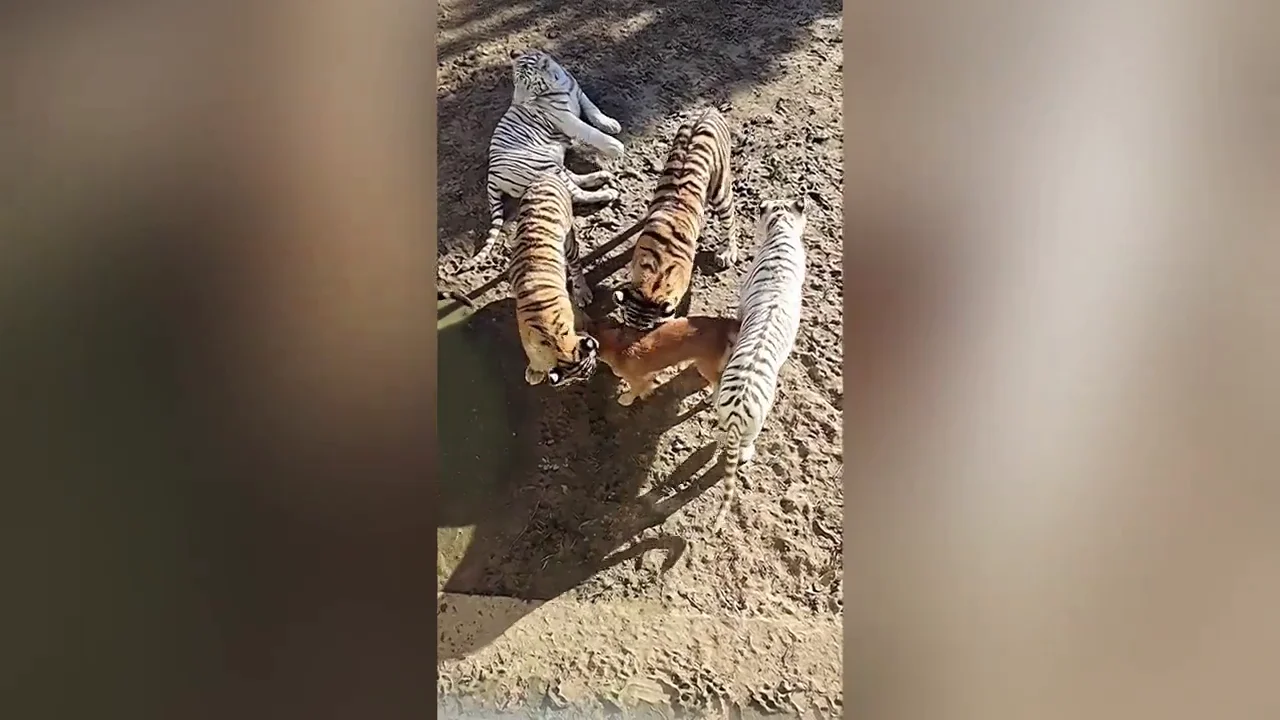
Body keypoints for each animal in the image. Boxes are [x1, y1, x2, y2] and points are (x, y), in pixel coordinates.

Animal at [466, 49, 626, 269]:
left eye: (528, 84)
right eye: (516, 83)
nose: (518, 102)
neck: (559, 82)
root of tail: (491, 176)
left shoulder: (579, 93)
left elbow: (594, 110)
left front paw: (610, 124)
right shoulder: (565, 118)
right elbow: (588, 130)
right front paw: (615, 146)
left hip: (554, 164)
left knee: (574, 180)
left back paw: (602, 175)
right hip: (544, 166)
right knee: (577, 194)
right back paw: (608, 192)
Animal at [509, 172, 600, 388]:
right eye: (585, 374)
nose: (593, 373)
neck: (555, 339)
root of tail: (545, 174)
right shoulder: (528, 335)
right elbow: (534, 354)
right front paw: (535, 371)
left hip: (569, 239)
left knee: (575, 265)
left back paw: (582, 292)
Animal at [612, 107, 737, 331]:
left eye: (646, 330)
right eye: (626, 324)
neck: (654, 280)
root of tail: (709, 109)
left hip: (720, 188)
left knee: (729, 217)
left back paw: (727, 252)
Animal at [710, 195, 809, 531]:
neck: (781, 231)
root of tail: (738, 410)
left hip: (725, 410)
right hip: (755, 424)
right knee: (744, 449)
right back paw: (745, 455)